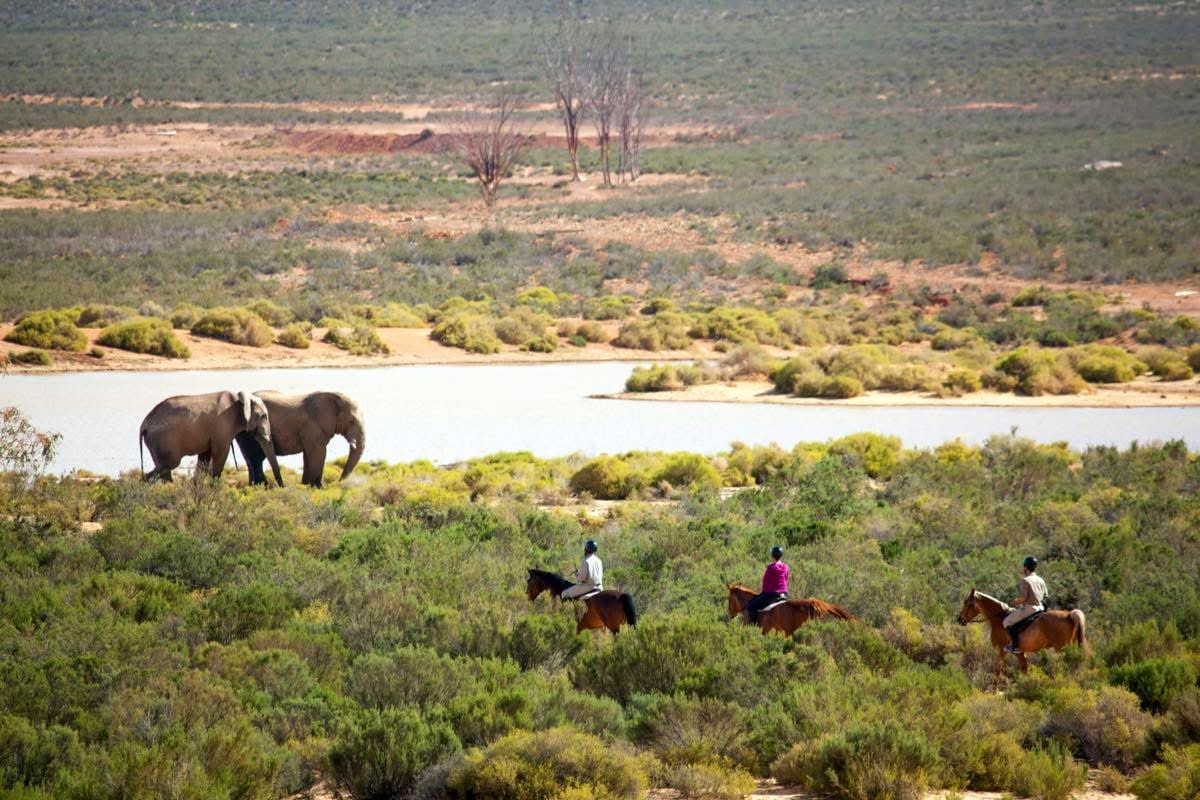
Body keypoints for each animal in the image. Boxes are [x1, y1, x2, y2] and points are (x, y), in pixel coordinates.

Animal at [956, 589, 1087, 684]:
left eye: (968, 603)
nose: (960, 619)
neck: (999, 618)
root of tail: (1069, 615)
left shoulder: (1002, 650)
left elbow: (998, 670)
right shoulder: (1020, 653)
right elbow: (1025, 670)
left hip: (1061, 649)